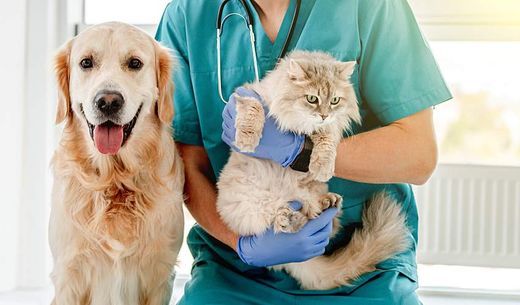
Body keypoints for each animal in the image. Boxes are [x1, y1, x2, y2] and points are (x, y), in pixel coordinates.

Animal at [47, 22, 184, 304]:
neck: (115, 179)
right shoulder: (69, 273)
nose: (108, 101)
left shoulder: (159, 274)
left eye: (135, 63)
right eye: (86, 62)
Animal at [216, 51, 410, 288]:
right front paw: (246, 140)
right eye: (312, 99)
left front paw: (322, 166)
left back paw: (326, 204)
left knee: (319, 219)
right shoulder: (248, 93)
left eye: (334, 101)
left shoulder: (329, 129)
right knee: (278, 226)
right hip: (253, 205)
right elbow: (253, 108)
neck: (296, 123)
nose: (324, 115)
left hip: (311, 195)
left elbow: (325, 140)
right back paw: (290, 222)